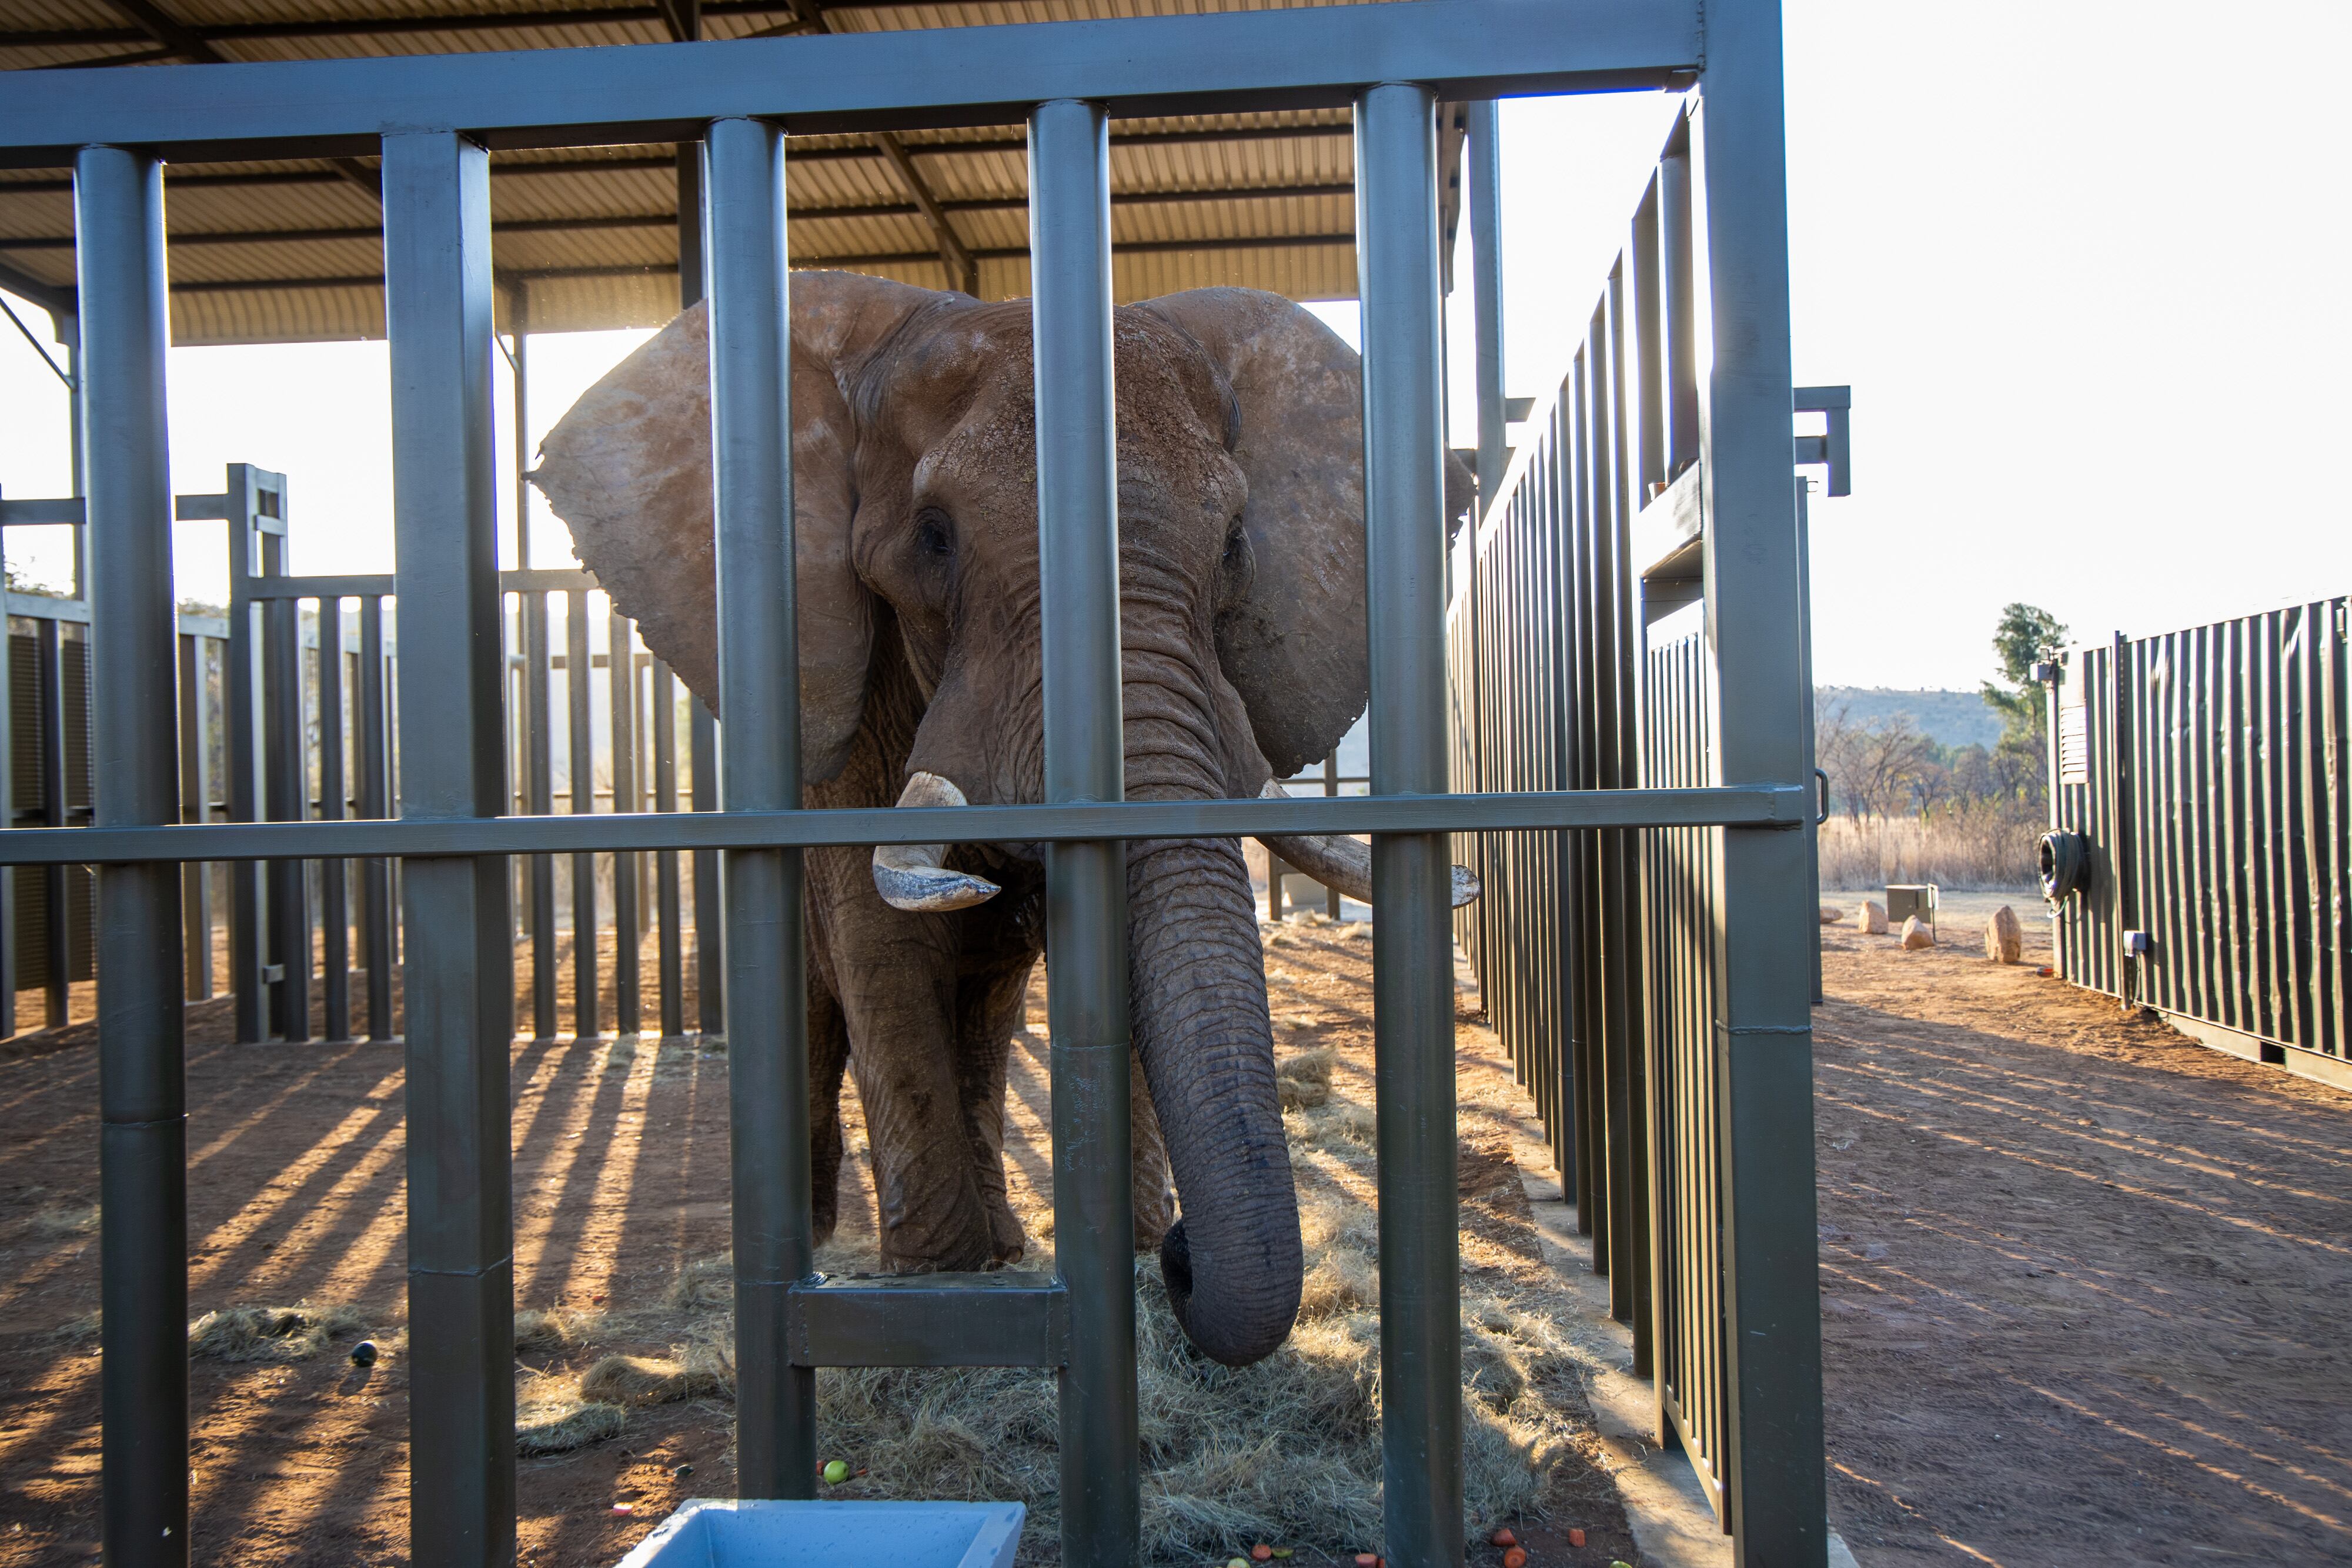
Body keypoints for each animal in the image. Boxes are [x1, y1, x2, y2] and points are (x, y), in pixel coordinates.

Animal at [529, 276, 1468, 1363]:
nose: (1187, 1256)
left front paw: (1123, 1252)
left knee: (979, 1020)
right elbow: (883, 943)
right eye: (935, 536)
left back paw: (1004, 1241)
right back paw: (825, 1240)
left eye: (1236, 544)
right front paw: (933, 1289)